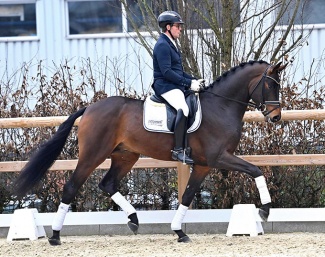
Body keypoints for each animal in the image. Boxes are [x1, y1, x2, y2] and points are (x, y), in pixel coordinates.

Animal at [13, 60, 286, 244]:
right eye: (270, 85)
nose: (275, 117)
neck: (222, 105)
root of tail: (90, 108)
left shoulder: (203, 164)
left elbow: (187, 196)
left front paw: (179, 231)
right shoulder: (218, 158)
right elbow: (255, 169)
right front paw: (265, 210)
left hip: (126, 156)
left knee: (108, 184)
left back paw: (134, 219)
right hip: (93, 155)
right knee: (72, 187)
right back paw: (55, 236)